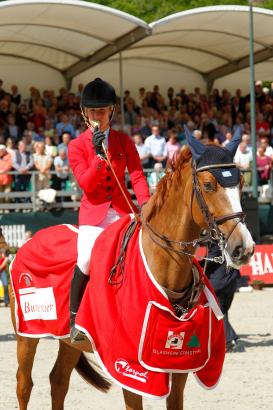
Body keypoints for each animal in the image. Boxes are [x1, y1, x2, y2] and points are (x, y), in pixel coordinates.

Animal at [9, 129, 254, 410]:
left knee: (58, 381)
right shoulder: (130, 368)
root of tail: (30, 241)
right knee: (24, 384)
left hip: (69, 342)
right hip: (27, 335)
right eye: (208, 185)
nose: (244, 248)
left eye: (241, 184)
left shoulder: (179, 366)